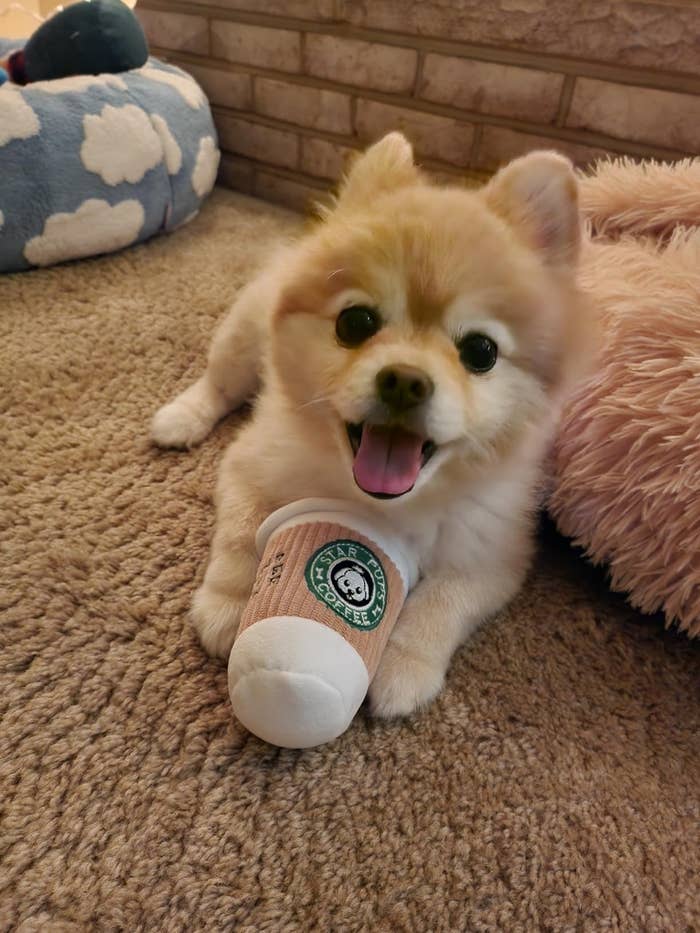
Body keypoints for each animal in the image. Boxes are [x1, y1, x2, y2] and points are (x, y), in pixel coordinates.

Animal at [152, 132, 591, 718]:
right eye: (355, 323)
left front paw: (404, 668)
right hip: (242, 336)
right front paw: (227, 606)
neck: (377, 502)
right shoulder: (248, 466)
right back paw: (181, 417)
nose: (405, 380)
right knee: (219, 382)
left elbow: (442, 603)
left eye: (481, 352)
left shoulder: (493, 553)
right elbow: (241, 536)